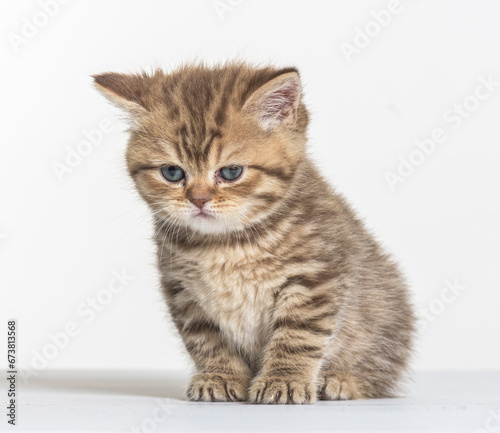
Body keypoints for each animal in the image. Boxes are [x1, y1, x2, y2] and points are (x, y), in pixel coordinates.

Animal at [93, 62, 414, 404]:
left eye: (231, 172)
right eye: (172, 172)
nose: (199, 199)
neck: (225, 244)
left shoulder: (314, 278)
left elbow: (297, 334)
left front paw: (283, 379)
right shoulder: (183, 291)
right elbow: (206, 338)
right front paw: (221, 375)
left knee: (379, 373)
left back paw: (342, 380)